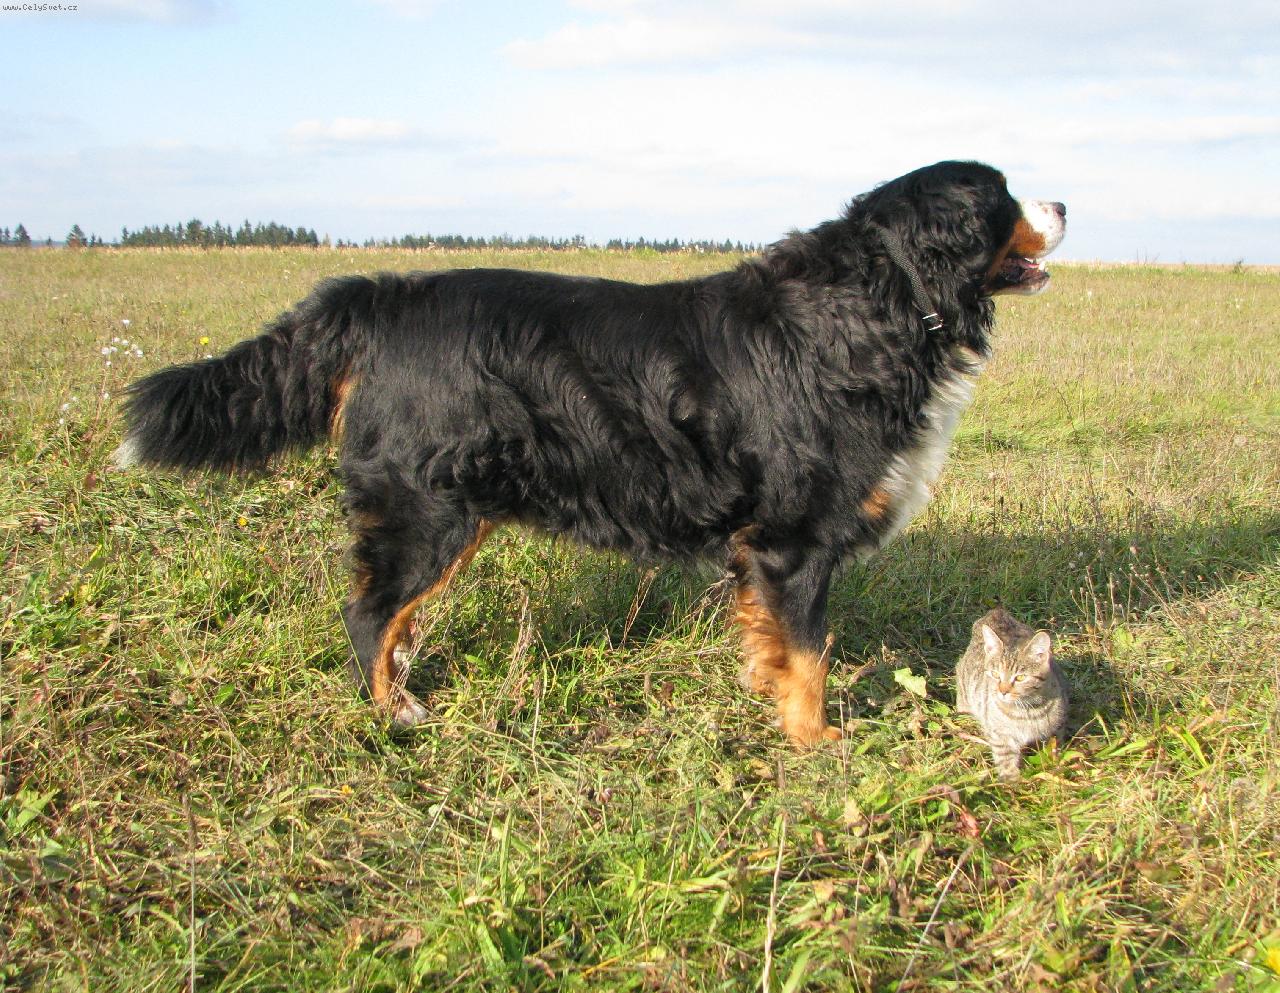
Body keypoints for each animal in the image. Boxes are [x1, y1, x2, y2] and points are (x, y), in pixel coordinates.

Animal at [117, 160, 1065, 746]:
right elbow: (810, 653)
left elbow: (773, 643)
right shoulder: (793, 540)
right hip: (428, 512)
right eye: (1004, 196)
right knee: (368, 615)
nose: (1064, 205)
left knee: (392, 620)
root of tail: (380, 295)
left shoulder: (765, 549)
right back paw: (393, 716)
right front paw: (814, 738)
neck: (875, 303)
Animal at [956, 608, 1068, 781]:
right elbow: (1006, 757)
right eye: (995, 674)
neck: (1026, 710)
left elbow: (1054, 747)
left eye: (1020, 677)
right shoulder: (1000, 734)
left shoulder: (1057, 728)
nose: (1003, 691)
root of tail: (997, 612)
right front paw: (1012, 781)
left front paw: (1054, 766)